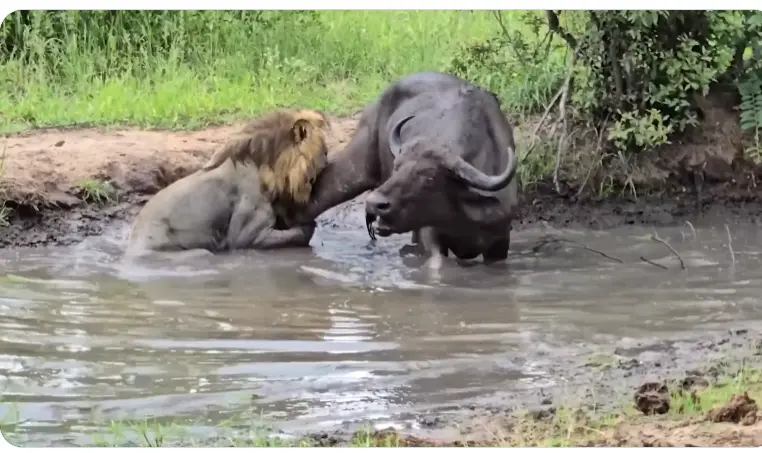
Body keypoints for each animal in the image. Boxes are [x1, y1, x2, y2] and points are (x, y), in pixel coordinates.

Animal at [124, 108, 331, 258]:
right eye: (325, 151)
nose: (327, 160)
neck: (269, 166)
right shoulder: (246, 235)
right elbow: (297, 233)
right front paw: (309, 226)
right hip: (198, 253)